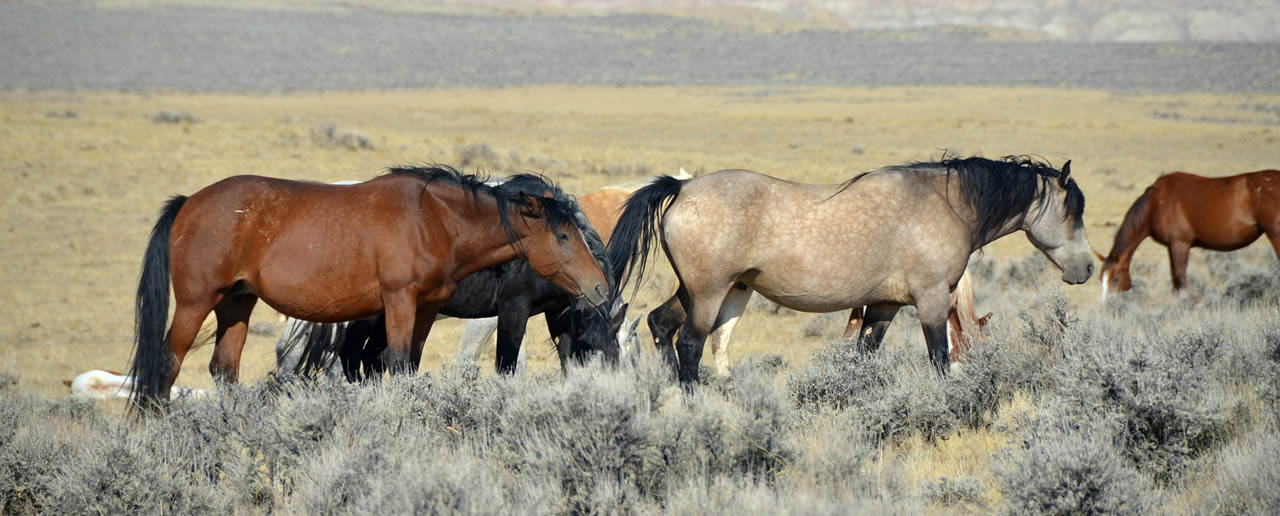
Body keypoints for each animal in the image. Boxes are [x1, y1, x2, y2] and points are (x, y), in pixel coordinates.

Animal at [126, 167, 609, 409]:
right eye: (563, 235)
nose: (600, 287)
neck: (433, 219)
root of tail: (189, 202)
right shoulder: (398, 302)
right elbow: (393, 363)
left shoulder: (425, 308)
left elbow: (407, 365)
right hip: (196, 303)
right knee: (166, 365)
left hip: (236, 304)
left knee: (224, 370)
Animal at [609, 155, 1090, 386]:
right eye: (1074, 210)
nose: (1085, 268)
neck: (944, 203)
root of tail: (682, 187)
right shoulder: (932, 300)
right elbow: (940, 358)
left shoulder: (884, 307)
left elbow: (865, 357)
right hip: (710, 294)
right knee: (689, 343)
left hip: (698, 291)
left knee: (660, 324)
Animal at [1100, 170, 1280, 303]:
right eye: (1101, 278)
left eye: (1115, 279)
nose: (1106, 305)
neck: (1156, 203)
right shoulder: (1174, 247)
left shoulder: (1179, 245)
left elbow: (1180, 281)